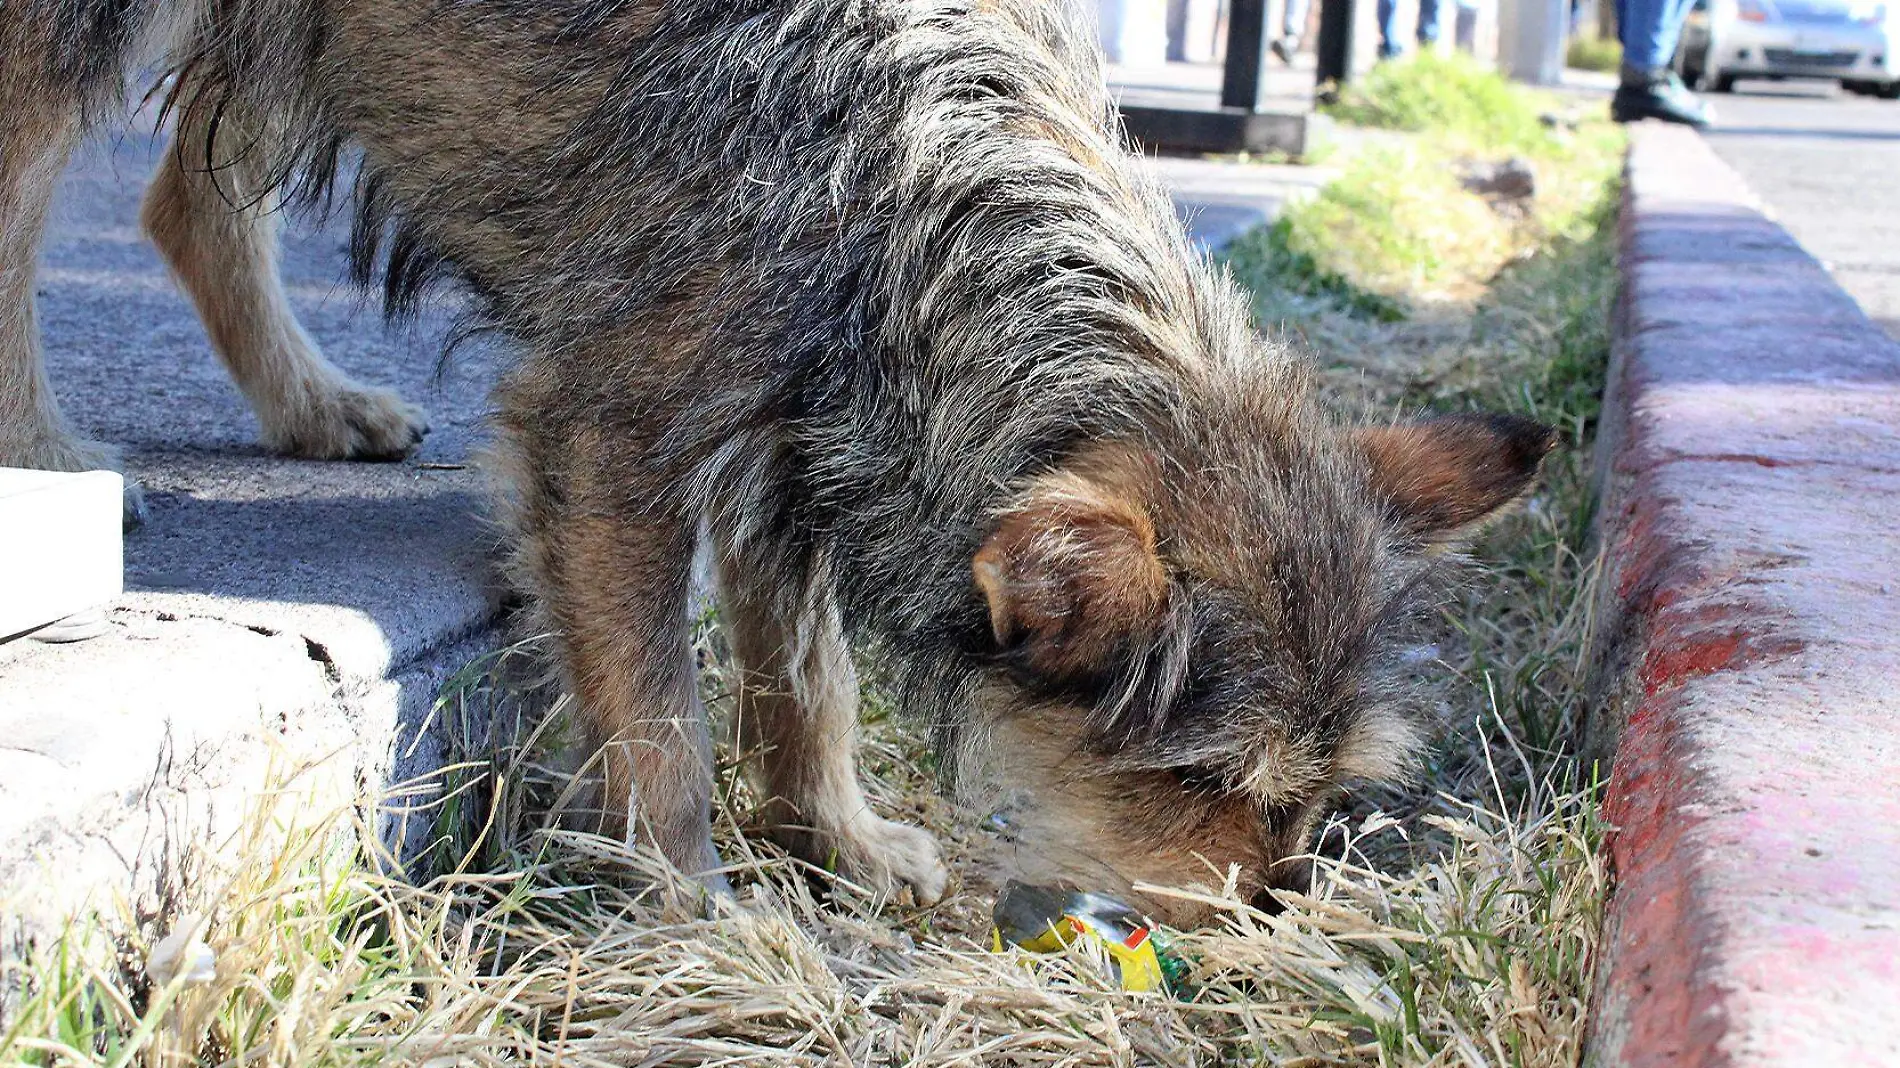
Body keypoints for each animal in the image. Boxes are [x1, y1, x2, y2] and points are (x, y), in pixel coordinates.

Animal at [0, 0, 1550, 915]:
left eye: (1322, 791)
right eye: (1198, 784)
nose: (1275, 919)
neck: (911, 176)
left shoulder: (807, 444)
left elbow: (812, 676)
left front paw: (839, 841)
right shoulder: (616, 442)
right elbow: (661, 713)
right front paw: (693, 906)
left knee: (185, 190)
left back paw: (314, 404)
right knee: (27, 184)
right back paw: (43, 449)